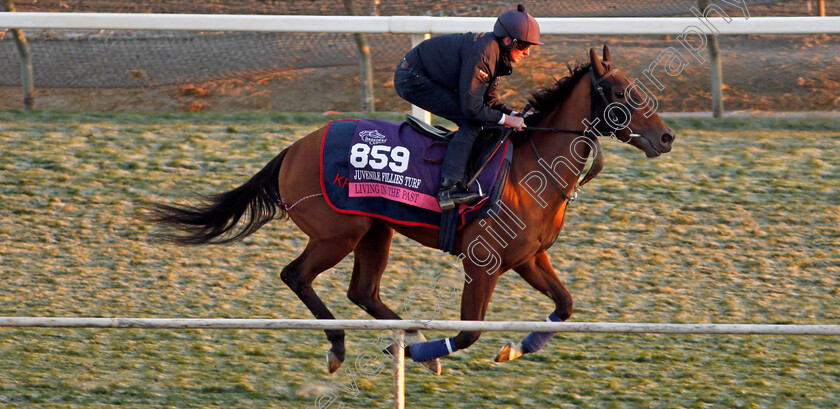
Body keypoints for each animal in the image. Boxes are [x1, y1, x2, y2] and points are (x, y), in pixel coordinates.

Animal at [149, 44, 676, 372]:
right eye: (623, 93)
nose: (667, 137)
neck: (534, 168)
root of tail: (294, 150)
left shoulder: (529, 257)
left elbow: (564, 305)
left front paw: (516, 347)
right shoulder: (482, 263)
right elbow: (468, 333)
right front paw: (431, 353)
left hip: (374, 232)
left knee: (362, 292)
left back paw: (407, 334)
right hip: (337, 233)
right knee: (296, 276)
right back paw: (345, 345)